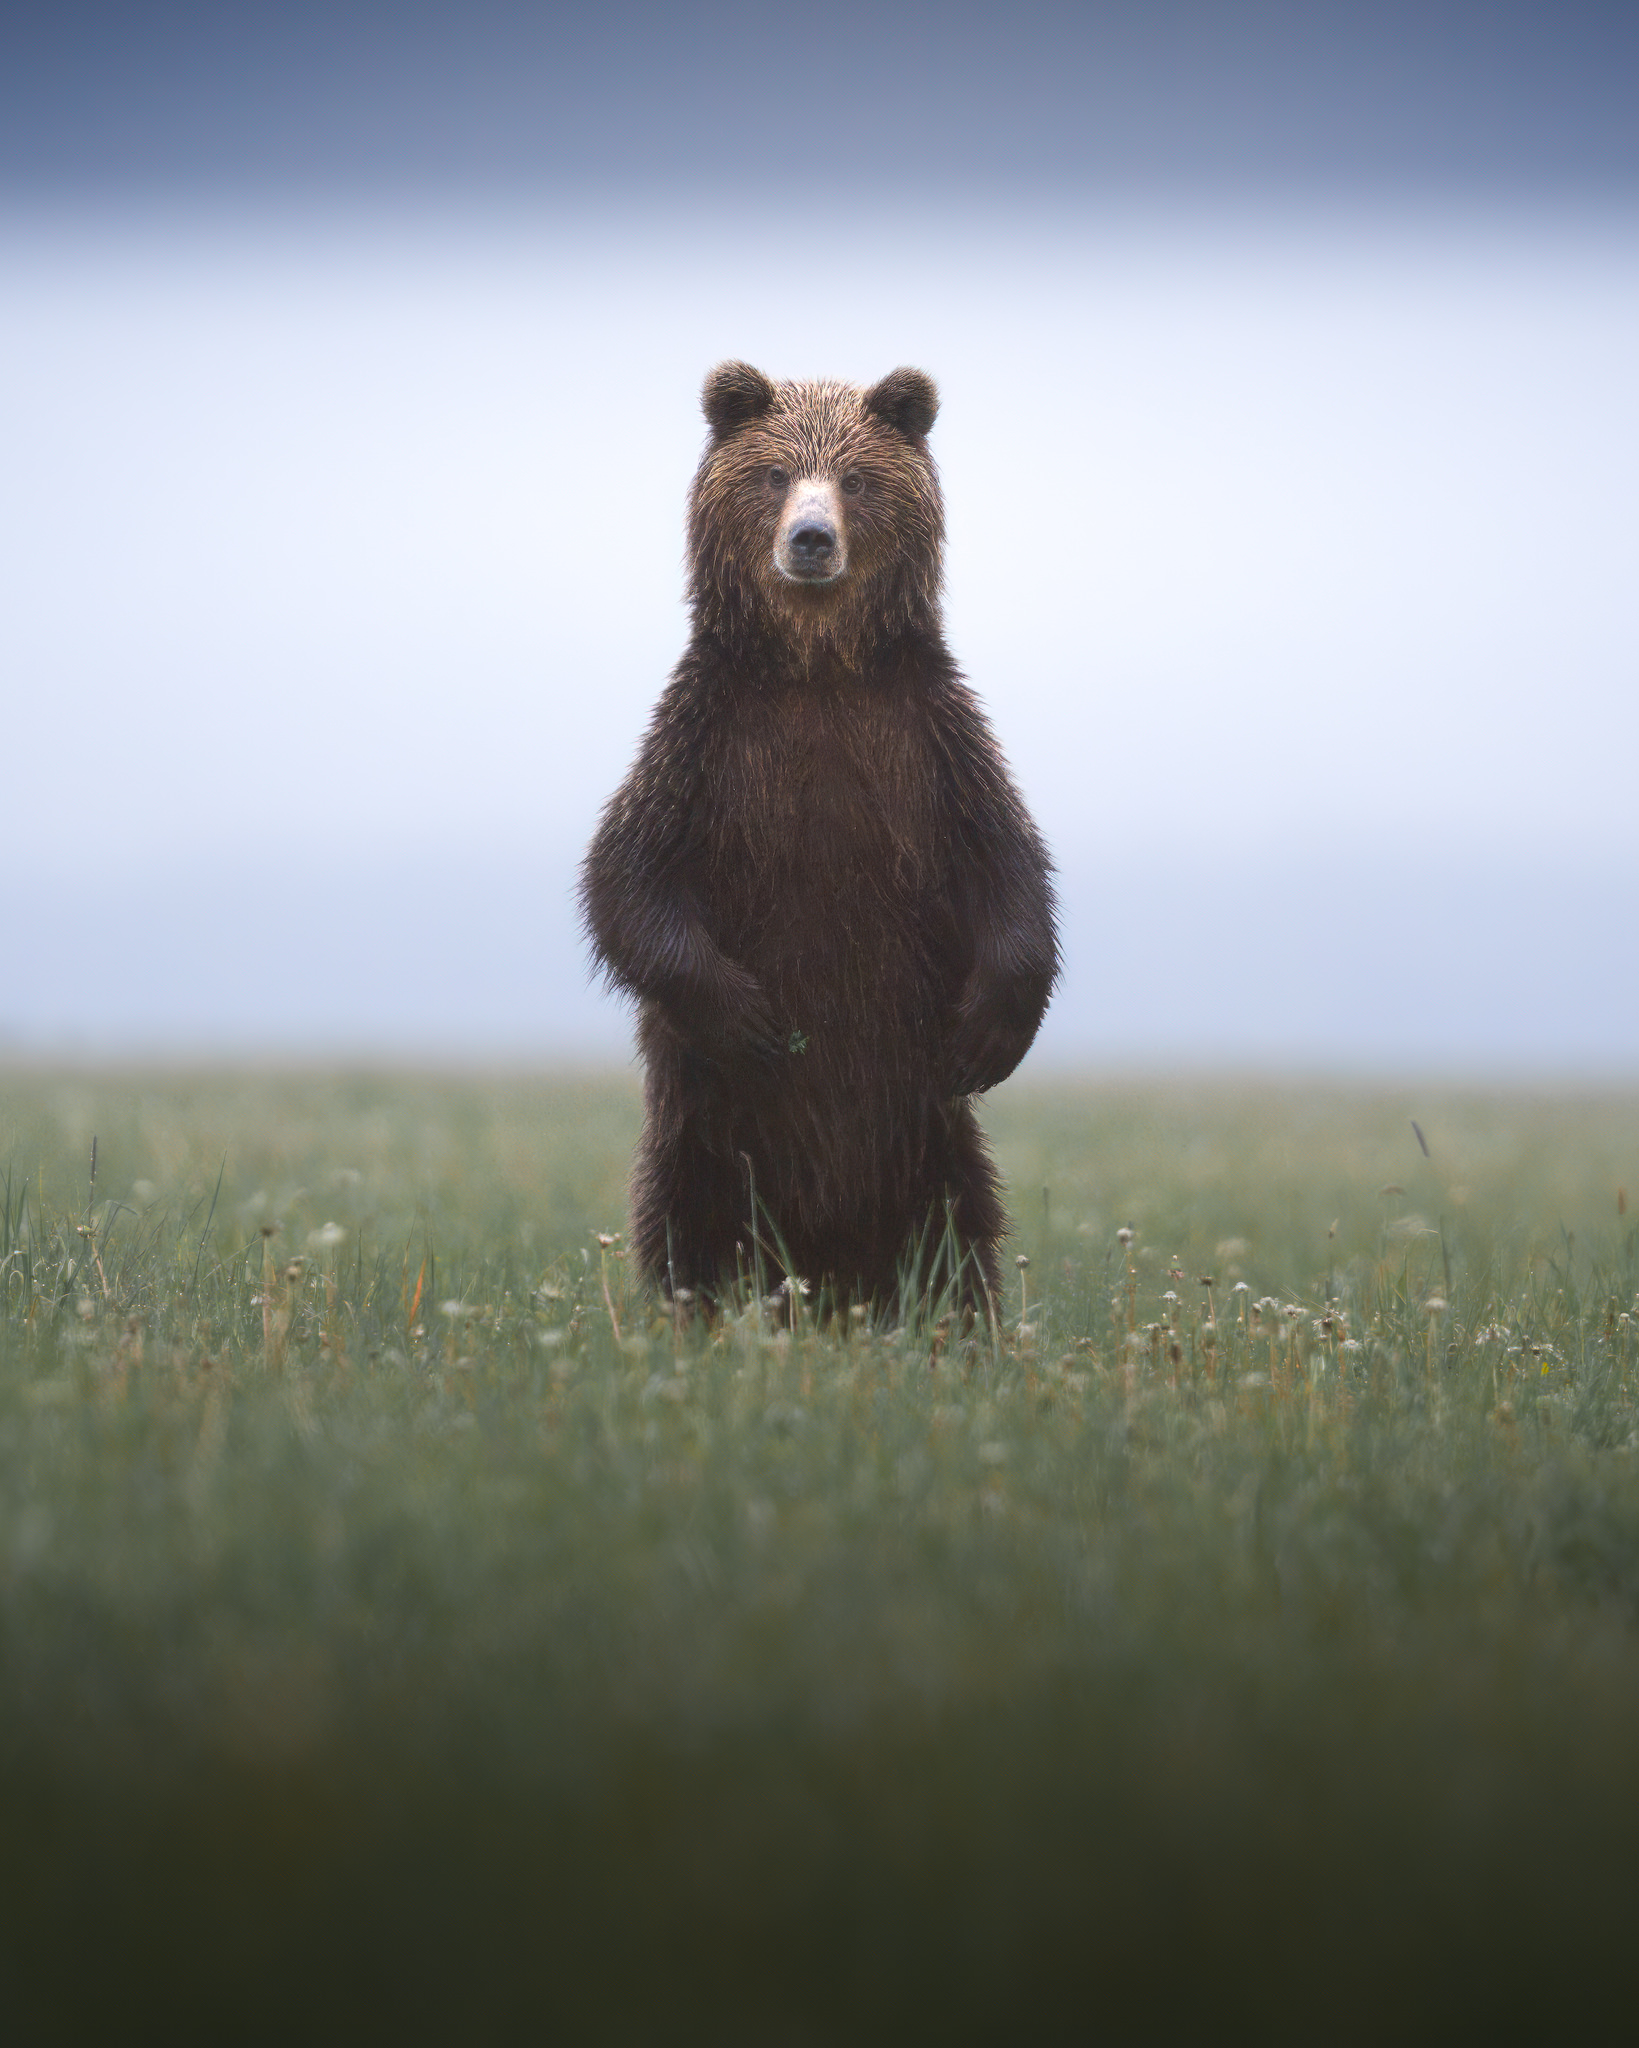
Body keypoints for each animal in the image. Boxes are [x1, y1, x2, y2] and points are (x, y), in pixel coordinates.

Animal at [579, 361, 1057, 1318]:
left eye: (856, 480)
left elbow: (1008, 866)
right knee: (686, 1219)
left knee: (958, 1228)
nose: (809, 539)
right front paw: (752, 1020)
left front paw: (992, 1032)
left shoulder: (930, 742)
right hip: (705, 1128)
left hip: (925, 1133)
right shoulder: (705, 741)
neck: (818, 669)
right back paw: (701, 1310)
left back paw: (952, 1318)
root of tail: (829, 1270)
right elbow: (628, 877)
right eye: (773, 475)